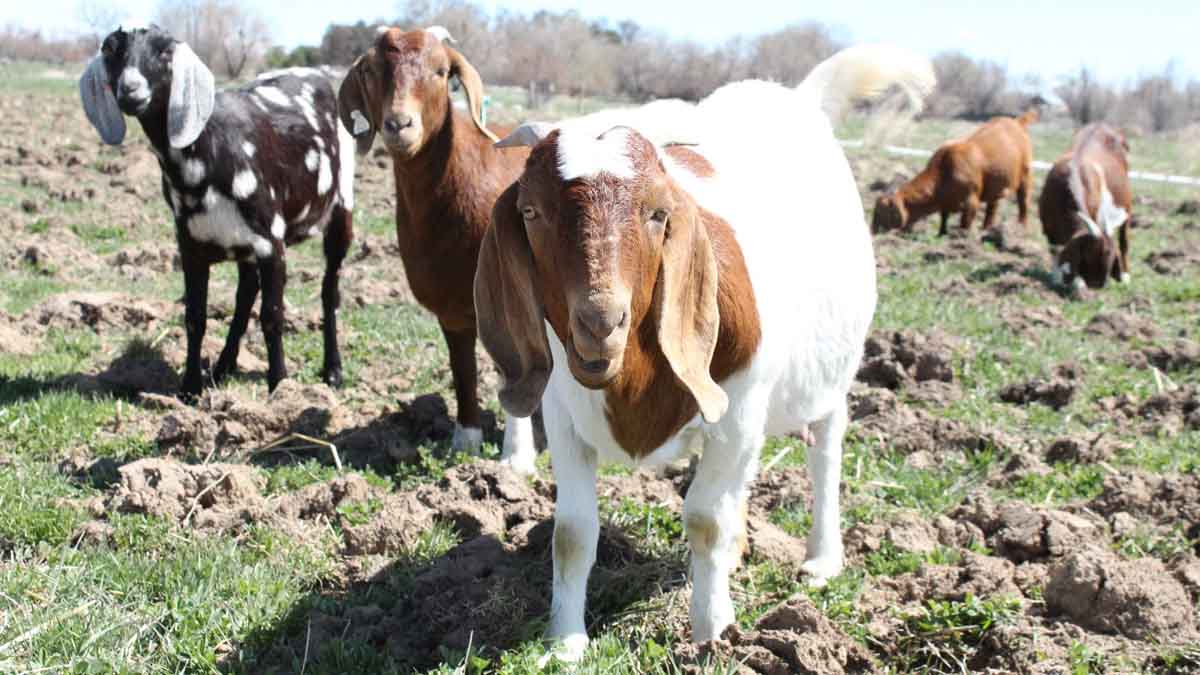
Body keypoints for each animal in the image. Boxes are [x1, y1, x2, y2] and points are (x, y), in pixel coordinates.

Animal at [76, 26, 350, 396]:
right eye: (110, 50)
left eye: (164, 51)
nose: (130, 90)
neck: (210, 147)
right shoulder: (191, 245)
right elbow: (195, 316)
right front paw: (191, 387)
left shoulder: (271, 241)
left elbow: (273, 316)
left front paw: (279, 386)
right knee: (247, 291)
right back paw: (223, 366)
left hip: (341, 210)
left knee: (328, 290)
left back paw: (332, 370)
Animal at [340, 26, 542, 473]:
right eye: (372, 70)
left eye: (440, 72)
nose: (399, 124)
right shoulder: (451, 307)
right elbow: (462, 369)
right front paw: (465, 442)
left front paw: (516, 459)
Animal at [477, 43, 936, 658]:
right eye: (531, 212)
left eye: (657, 212)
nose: (600, 322)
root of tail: (798, 96)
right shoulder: (562, 413)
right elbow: (572, 533)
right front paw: (564, 643)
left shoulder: (740, 412)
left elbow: (705, 521)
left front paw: (711, 634)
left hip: (828, 376)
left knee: (825, 451)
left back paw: (821, 556)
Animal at [868, 109, 1036, 235]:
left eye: (881, 212)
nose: (872, 231)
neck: (945, 171)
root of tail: (1017, 122)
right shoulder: (945, 202)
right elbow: (944, 216)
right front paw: (941, 234)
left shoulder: (971, 201)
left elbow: (965, 222)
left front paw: (961, 237)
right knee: (992, 206)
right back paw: (986, 228)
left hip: (1025, 176)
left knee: (1023, 202)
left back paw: (1021, 226)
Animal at [1036, 123, 1128, 289]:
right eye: (1087, 255)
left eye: (1111, 258)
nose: (1096, 285)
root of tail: (1101, 125)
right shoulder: (1048, 227)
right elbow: (1055, 250)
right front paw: (1057, 279)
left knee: (1124, 241)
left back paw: (1126, 274)